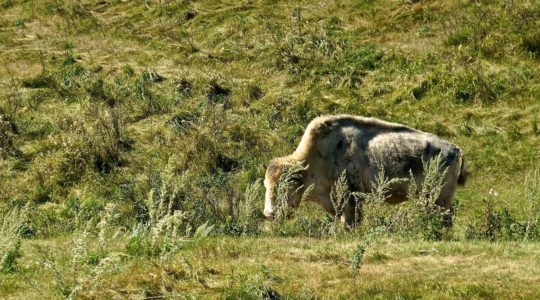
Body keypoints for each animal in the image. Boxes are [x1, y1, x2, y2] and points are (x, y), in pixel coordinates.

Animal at [264, 115, 466, 227]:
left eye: (286, 185)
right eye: (266, 185)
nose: (269, 214)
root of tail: (456, 149)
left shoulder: (351, 195)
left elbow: (351, 220)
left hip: (439, 197)